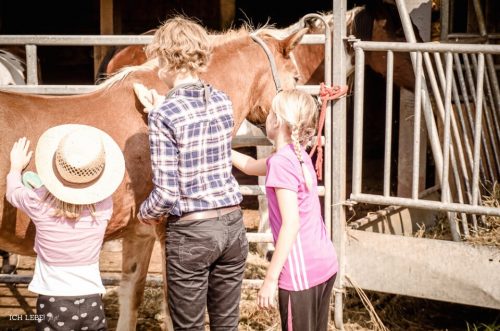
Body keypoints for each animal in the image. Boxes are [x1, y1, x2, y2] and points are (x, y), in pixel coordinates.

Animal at [0, 26, 306, 331]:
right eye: (296, 77)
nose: (306, 130)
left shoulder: (139, 234)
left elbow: (131, 294)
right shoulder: (165, 233)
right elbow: (172, 307)